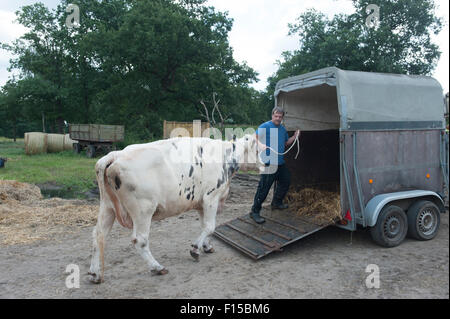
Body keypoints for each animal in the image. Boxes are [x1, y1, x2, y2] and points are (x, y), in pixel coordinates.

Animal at [88, 134, 256, 284]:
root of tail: (115, 155)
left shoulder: (202, 202)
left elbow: (206, 227)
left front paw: (206, 246)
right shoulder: (211, 197)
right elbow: (210, 227)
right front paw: (195, 249)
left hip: (107, 207)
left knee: (99, 235)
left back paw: (95, 274)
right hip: (143, 209)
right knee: (139, 240)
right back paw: (157, 267)